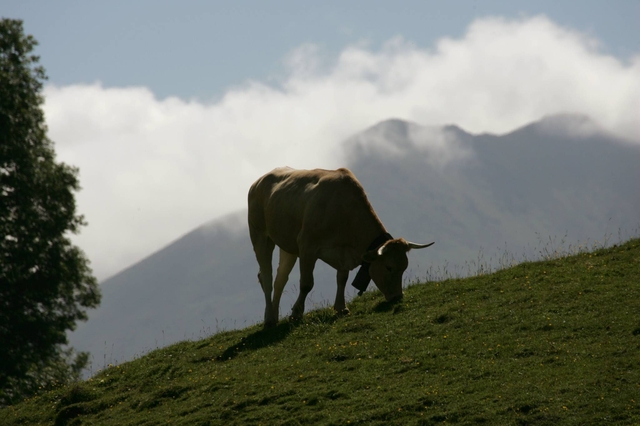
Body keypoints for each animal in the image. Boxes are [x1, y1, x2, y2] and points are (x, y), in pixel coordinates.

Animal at [248, 168, 432, 328]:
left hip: (287, 246)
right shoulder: (307, 245)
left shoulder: (343, 254)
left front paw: (341, 308)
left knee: (280, 279)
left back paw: (274, 316)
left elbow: (342, 279)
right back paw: (269, 319)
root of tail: (259, 181)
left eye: (404, 267)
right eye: (388, 267)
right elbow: (307, 284)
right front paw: (296, 313)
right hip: (260, 235)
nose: (397, 297)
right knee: (266, 277)